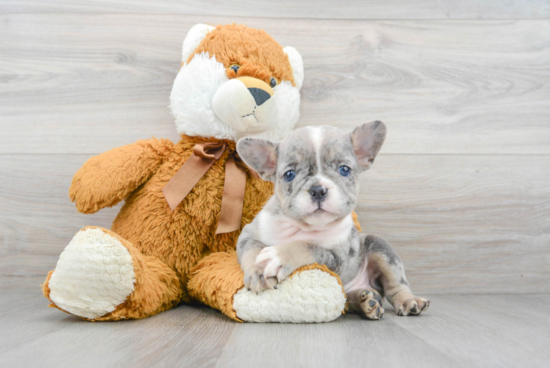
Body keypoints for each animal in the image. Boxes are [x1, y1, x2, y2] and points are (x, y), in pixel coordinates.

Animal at [237, 122, 432, 318]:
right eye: (289, 174)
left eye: (344, 170)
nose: (318, 190)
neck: (304, 227)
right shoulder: (247, 234)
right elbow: (252, 248)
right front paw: (257, 269)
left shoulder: (336, 257)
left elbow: (307, 245)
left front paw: (279, 256)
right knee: (348, 300)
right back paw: (366, 300)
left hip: (380, 248)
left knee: (396, 284)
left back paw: (408, 301)